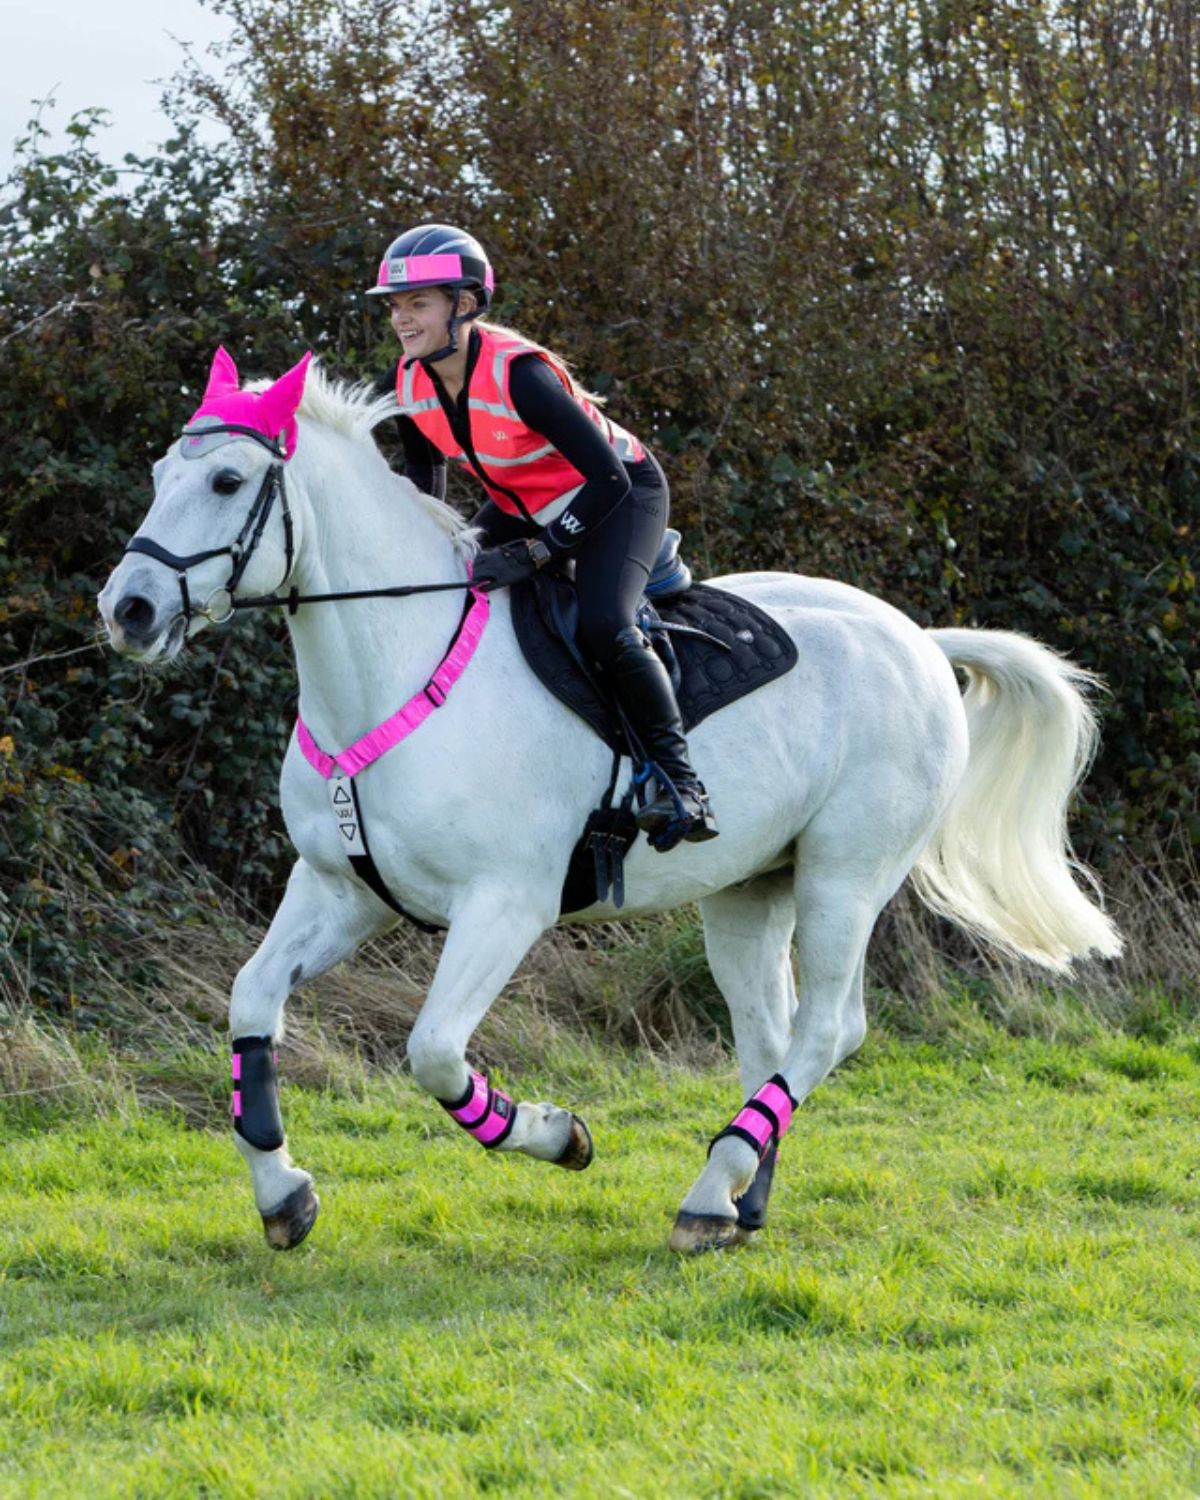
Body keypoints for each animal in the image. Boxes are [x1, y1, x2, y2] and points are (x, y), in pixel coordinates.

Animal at [98, 349, 1123, 1255]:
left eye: (228, 479)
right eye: (157, 474)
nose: (129, 610)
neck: (397, 667)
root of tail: (916, 638)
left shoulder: (505, 903)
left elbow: (434, 1051)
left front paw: (558, 1136)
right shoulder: (341, 888)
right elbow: (252, 1000)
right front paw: (284, 1194)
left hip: (846, 877)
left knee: (831, 1027)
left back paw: (712, 1189)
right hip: (749, 890)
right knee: (770, 1035)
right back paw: (736, 1200)